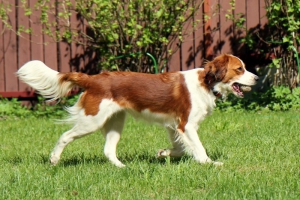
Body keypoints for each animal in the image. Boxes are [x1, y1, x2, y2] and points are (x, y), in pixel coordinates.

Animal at [17, 53, 258, 167]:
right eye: (240, 69)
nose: (256, 78)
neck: (207, 83)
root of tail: (93, 79)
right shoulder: (186, 125)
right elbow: (199, 148)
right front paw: (209, 163)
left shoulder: (173, 126)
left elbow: (180, 148)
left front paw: (163, 153)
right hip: (91, 121)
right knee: (65, 136)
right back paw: (54, 159)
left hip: (115, 122)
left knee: (108, 150)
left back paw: (122, 167)